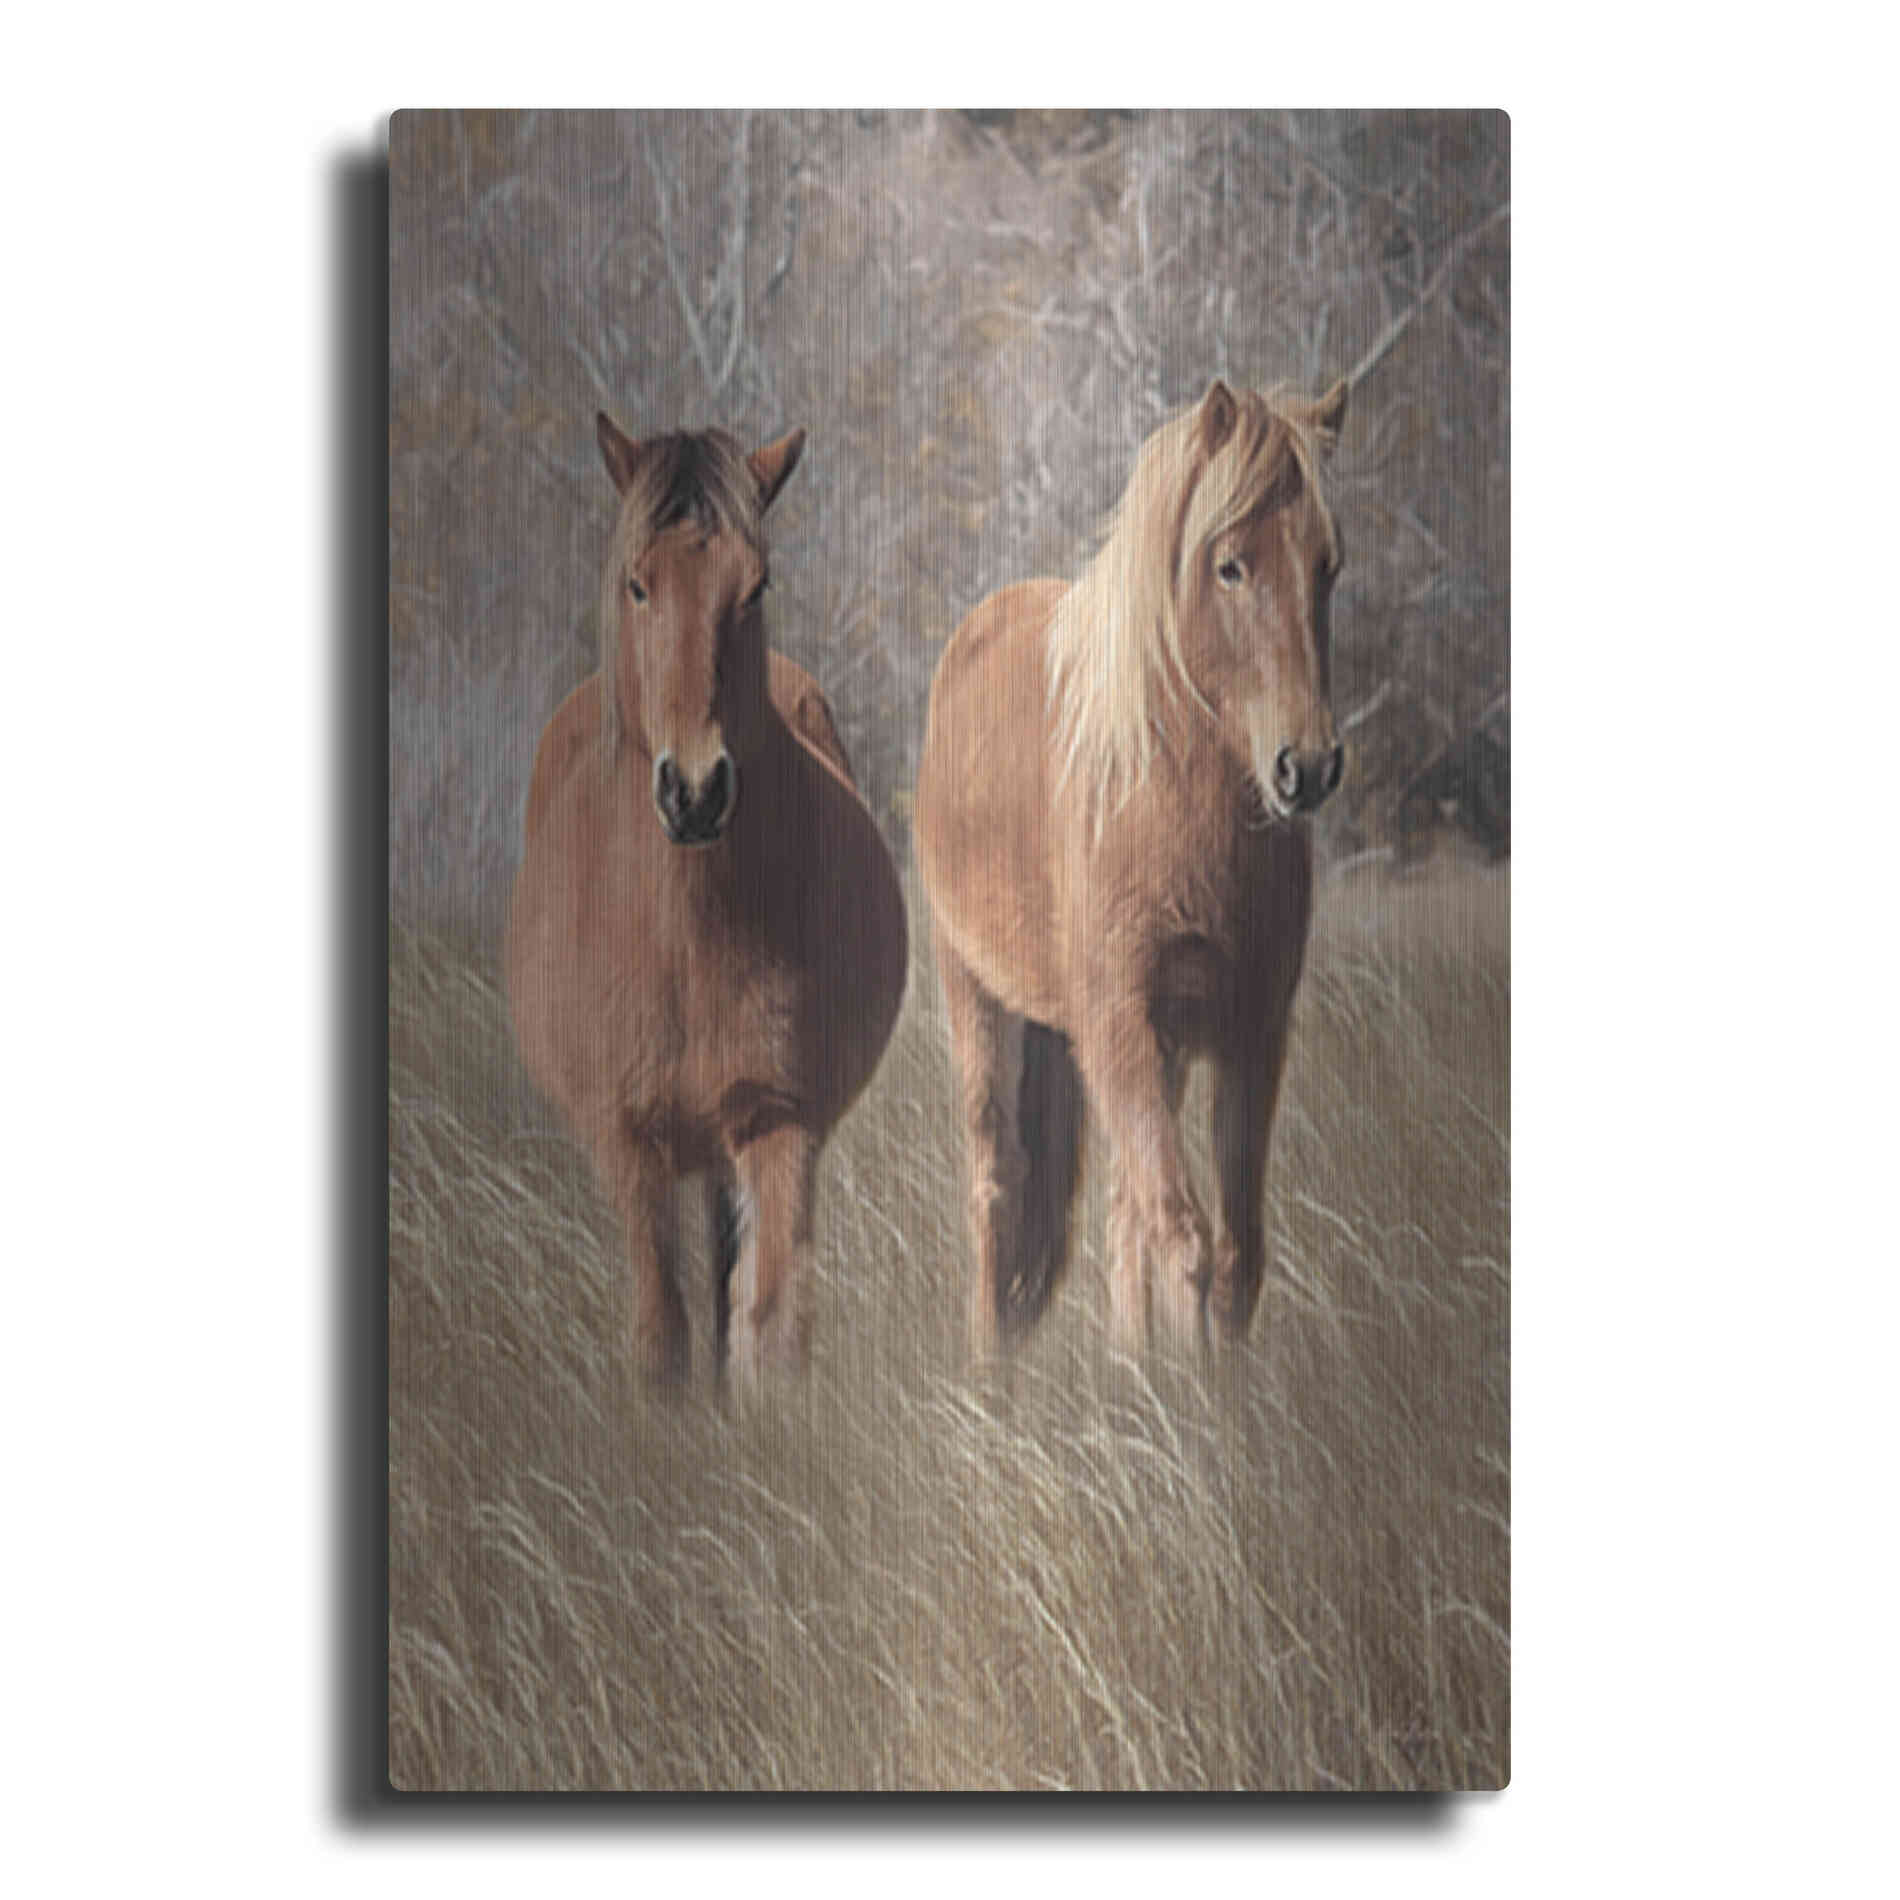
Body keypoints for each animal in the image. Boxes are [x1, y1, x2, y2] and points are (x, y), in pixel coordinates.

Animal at [506, 416, 907, 1389]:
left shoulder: (777, 1121)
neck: (683, 933)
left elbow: (771, 1327)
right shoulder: (630, 1141)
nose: (694, 792)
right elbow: (662, 1338)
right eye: (638, 584)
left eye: (754, 586)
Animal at [915, 378, 1350, 1360]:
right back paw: (988, 1374)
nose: (1306, 769)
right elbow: (1183, 1238)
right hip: (978, 998)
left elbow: (1233, 1252)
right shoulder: (1118, 1020)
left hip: (1155, 1046)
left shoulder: (1248, 1031)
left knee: (1119, 1215)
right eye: (1230, 566)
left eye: (1327, 566)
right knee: (997, 1186)